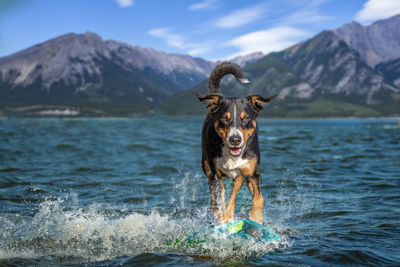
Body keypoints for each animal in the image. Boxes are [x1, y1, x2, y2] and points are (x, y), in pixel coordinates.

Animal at [193, 61, 276, 225]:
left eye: (246, 118)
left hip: (239, 175)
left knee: (235, 187)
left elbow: (259, 199)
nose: (235, 139)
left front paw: (256, 218)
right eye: (225, 118)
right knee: (215, 198)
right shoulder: (216, 176)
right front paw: (222, 221)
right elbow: (219, 203)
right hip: (207, 166)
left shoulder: (253, 173)